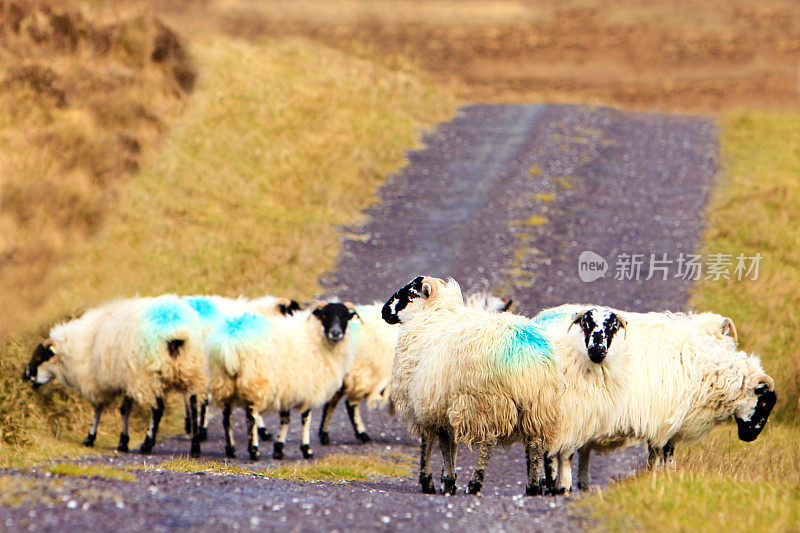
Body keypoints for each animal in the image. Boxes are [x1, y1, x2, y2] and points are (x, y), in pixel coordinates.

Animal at [23, 296, 208, 454]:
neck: (76, 347)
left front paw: (91, 438)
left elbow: (100, 408)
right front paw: (122, 441)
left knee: (158, 409)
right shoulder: (127, 379)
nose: (25, 376)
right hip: (190, 370)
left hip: (149, 376)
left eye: (39, 357)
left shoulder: (99, 379)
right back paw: (195, 446)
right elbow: (125, 409)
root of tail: (176, 333)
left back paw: (147, 444)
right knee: (193, 405)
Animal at [205, 302, 358, 460]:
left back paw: (231, 449)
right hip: (255, 381)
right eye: (325, 315)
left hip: (224, 382)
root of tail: (229, 341)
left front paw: (279, 448)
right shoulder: (308, 386)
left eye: (345, 316)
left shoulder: (287, 387)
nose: (336, 333)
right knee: (251, 416)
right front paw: (306, 449)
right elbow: (305, 418)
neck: (315, 336)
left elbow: (285, 419)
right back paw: (254, 450)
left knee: (226, 417)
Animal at [382, 276, 564, 496]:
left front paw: (435, 481)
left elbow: (434, 442)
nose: (384, 311)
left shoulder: (430, 402)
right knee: (535, 444)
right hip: (538, 406)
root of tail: (525, 351)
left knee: (488, 442)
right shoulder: (443, 406)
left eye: (409, 293)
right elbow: (449, 443)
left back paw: (475, 483)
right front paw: (447, 481)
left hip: (486, 401)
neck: (433, 316)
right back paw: (533, 486)